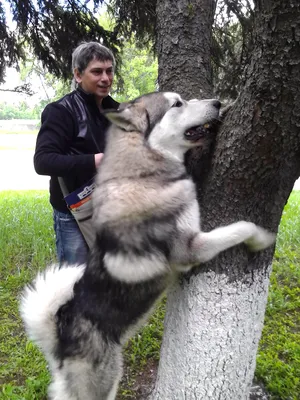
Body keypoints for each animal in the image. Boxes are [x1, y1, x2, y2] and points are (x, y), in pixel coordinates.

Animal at [19, 92, 276, 398]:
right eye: (177, 104)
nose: (216, 102)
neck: (143, 175)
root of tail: (60, 334)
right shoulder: (190, 247)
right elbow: (241, 227)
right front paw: (262, 238)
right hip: (104, 383)